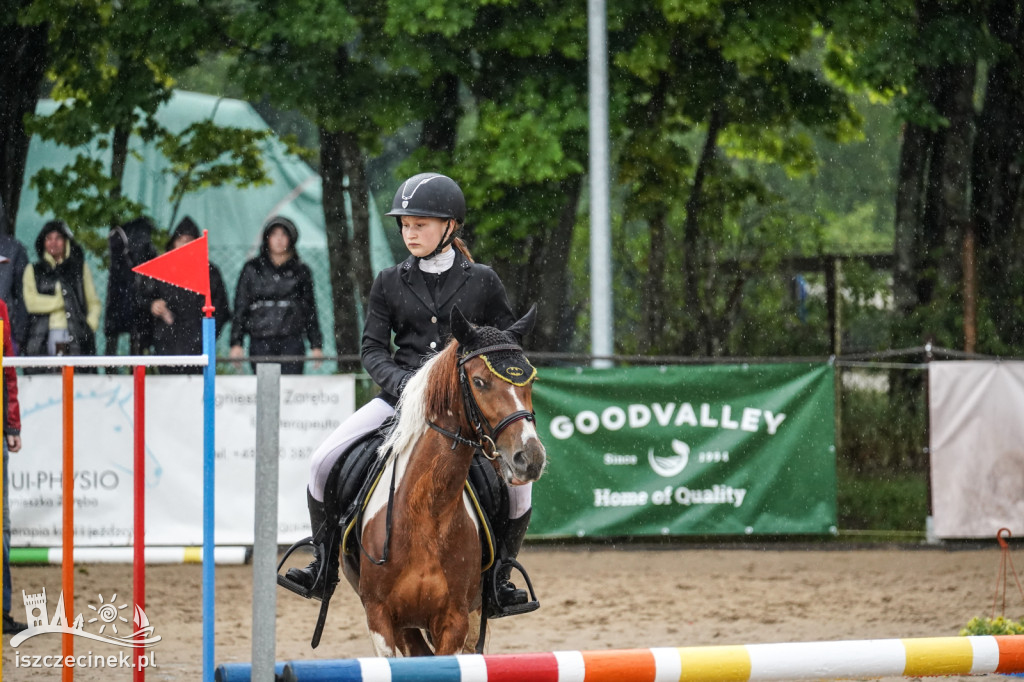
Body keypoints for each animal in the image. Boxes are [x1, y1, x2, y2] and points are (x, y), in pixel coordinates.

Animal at [348, 307, 548, 655]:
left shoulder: (455, 621)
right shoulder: (380, 619)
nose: (531, 458)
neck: (426, 510)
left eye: (531, 381)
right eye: (480, 381)